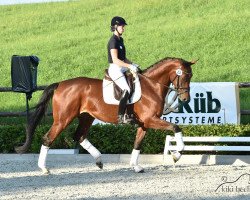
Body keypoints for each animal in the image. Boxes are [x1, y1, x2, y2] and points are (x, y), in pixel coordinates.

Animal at [15, 56, 195, 173]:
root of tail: (60, 84)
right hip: (63, 119)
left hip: (87, 117)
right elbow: (176, 127)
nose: (185, 99)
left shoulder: (144, 123)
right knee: (48, 138)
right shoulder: (151, 120)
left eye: (191, 75)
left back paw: (99, 161)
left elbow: (137, 144)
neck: (151, 86)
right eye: (184, 75)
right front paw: (177, 154)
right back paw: (44, 168)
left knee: (79, 136)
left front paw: (135, 166)